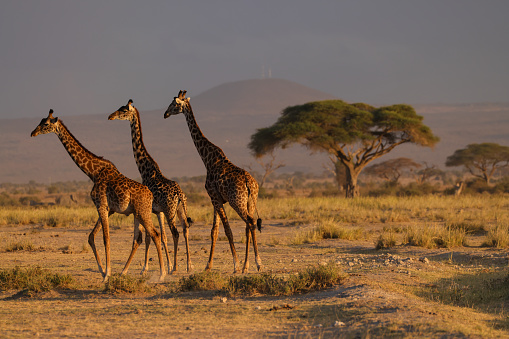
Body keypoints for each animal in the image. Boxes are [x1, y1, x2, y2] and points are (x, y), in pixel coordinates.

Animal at [30, 110, 165, 282]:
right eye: (40, 121)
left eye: (45, 124)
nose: (33, 133)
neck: (93, 172)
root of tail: (150, 195)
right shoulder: (108, 209)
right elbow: (91, 236)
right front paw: (102, 271)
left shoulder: (101, 205)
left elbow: (106, 239)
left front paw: (107, 274)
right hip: (137, 213)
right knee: (138, 238)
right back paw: (124, 272)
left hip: (143, 212)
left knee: (155, 234)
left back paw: (161, 274)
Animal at [108, 99, 191, 274]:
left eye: (123, 111)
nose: (110, 116)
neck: (145, 169)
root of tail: (180, 196)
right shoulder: (158, 211)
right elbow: (161, 236)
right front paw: (166, 264)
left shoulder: (152, 210)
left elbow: (148, 237)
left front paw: (146, 268)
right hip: (181, 210)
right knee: (186, 229)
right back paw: (189, 265)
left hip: (170, 211)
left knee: (176, 233)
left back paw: (176, 268)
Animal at [165, 90, 262, 274]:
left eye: (174, 104)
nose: (165, 114)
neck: (208, 159)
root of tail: (249, 183)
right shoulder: (216, 199)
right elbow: (214, 231)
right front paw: (208, 265)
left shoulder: (214, 197)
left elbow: (227, 230)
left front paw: (235, 264)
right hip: (250, 201)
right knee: (249, 225)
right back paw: (247, 265)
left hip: (237, 201)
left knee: (251, 222)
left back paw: (257, 263)